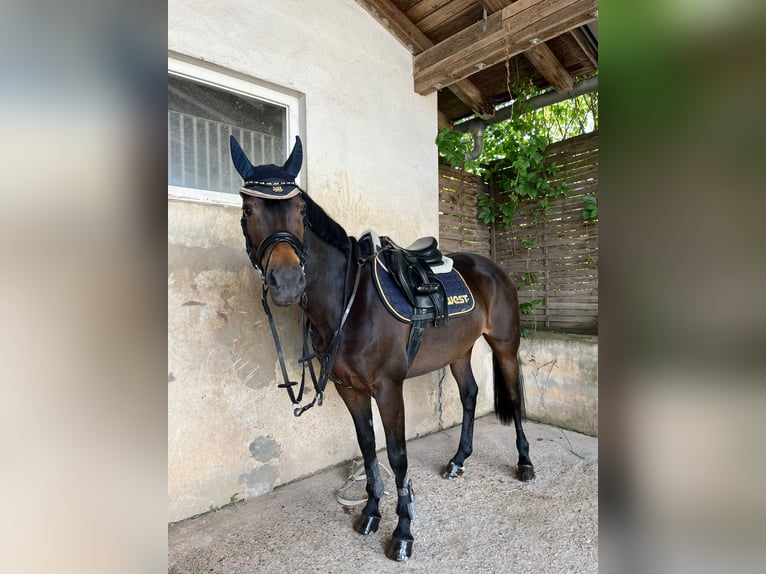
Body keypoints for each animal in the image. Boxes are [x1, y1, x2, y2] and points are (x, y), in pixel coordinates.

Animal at [231, 136, 536, 564]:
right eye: (248, 208)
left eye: (300, 209)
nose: (288, 282)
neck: (351, 301)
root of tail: (493, 268)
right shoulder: (349, 388)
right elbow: (368, 448)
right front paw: (371, 513)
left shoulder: (389, 388)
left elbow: (396, 456)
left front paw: (403, 532)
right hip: (458, 352)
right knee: (470, 395)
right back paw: (458, 460)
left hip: (505, 345)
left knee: (513, 396)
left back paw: (525, 464)